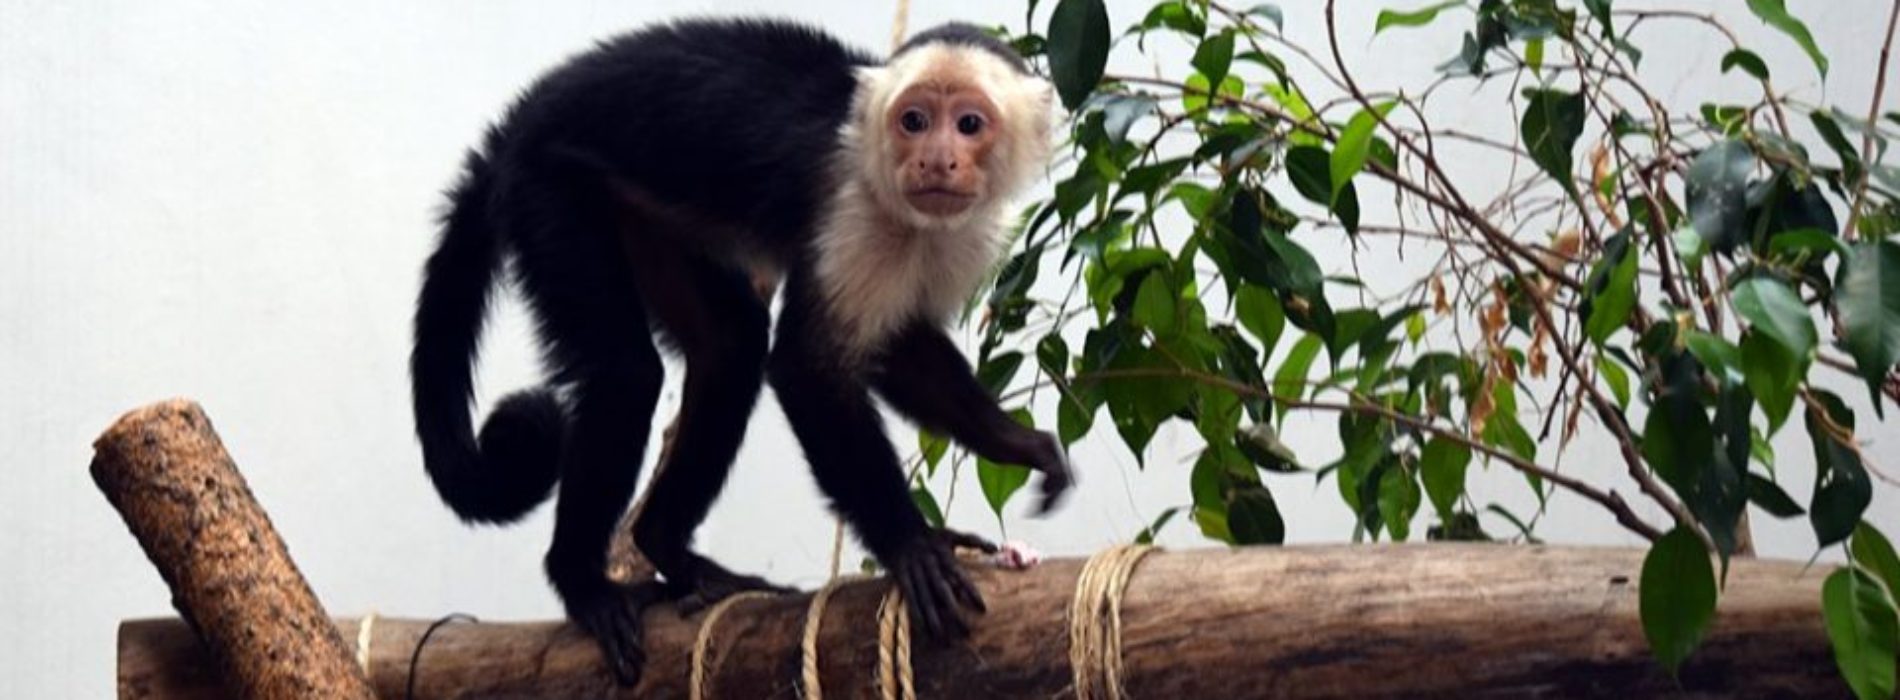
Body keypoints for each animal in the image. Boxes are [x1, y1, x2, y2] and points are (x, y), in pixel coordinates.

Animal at [412, 16, 1071, 684]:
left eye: (969, 124)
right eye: (913, 120)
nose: (936, 159)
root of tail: (519, 121)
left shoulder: (959, 232)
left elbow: (901, 347)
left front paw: (1022, 445)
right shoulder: (852, 213)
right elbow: (808, 367)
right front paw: (911, 545)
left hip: (639, 212)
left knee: (731, 347)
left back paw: (670, 550)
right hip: (547, 190)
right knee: (628, 375)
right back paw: (582, 583)